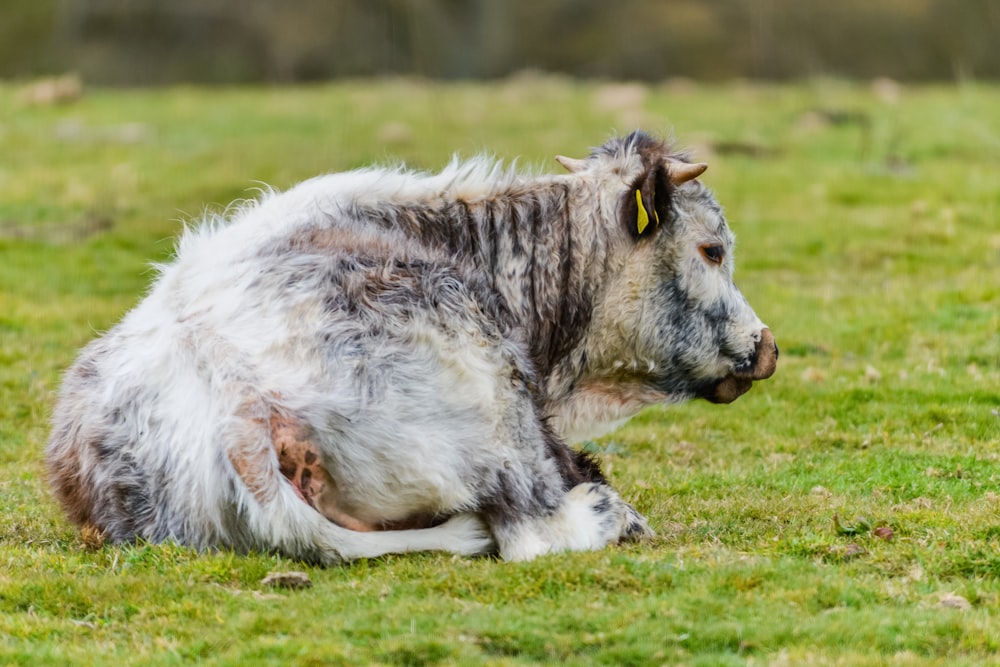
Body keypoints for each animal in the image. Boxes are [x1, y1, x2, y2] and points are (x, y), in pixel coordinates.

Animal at [47, 130, 776, 564]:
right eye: (712, 249)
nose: (766, 347)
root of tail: (237, 406)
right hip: (494, 407)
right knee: (536, 529)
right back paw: (609, 514)